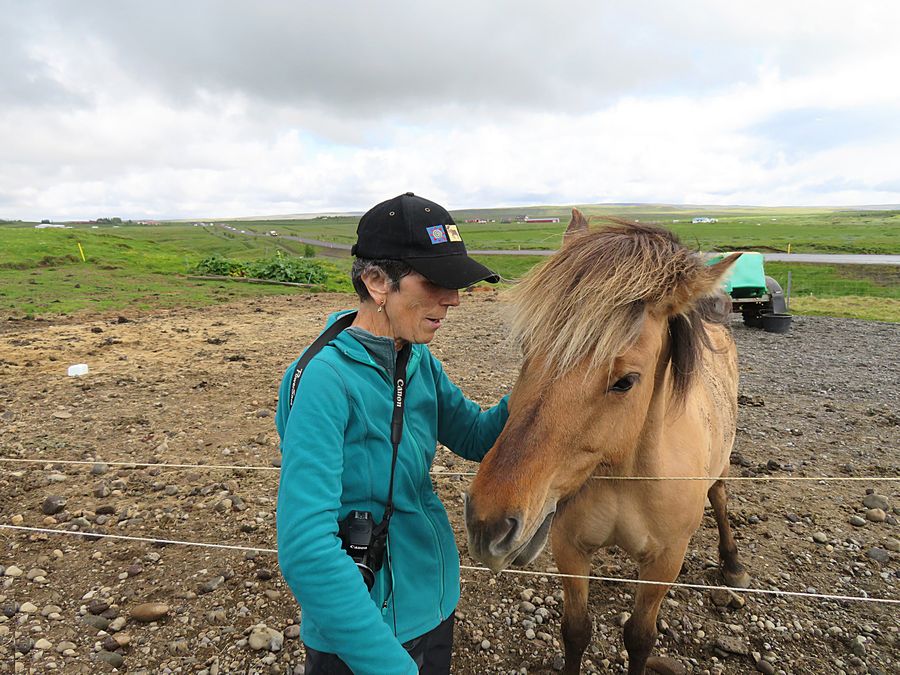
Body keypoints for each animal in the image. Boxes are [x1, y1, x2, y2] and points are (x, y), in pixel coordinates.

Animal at [464, 211, 751, 674]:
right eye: (527, 350)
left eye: (626, 381)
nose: (487, 524)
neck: (624, 474)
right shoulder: (569, 548)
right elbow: (576, 630)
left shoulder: (664, 561)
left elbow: (640, 636)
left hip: (721, 467)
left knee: (721, 499)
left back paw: (733, 564)